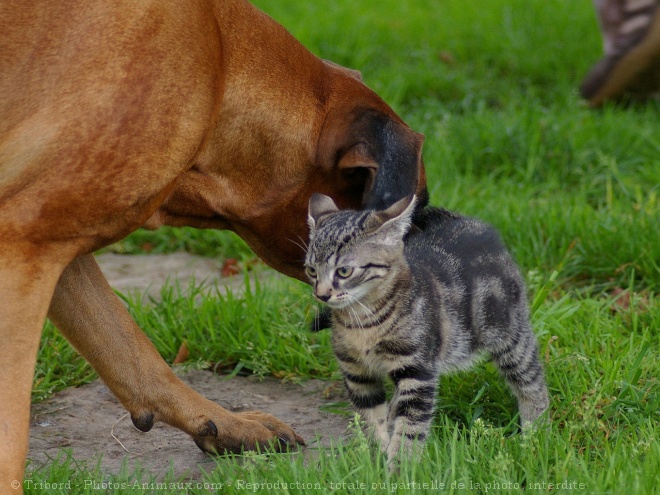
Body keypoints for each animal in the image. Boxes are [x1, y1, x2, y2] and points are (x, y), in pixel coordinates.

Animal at [0, 0, 428, 488]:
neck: (218, 57)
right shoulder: (25, 244)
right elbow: (11, 434)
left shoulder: (56, 243)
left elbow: (129, 347)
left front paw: (225, 425)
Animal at [306, 194, 552, 464]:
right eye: (311, 270)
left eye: (344, 271)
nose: (321, 294)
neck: (363, 320)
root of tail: (471, 223)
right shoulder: (356, 372)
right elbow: (371, 419)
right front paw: (376, 456)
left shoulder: (417, 371)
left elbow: (410, 427)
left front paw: (400, 467)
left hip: (509, 335)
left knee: (531, 379)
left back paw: (535, 431)